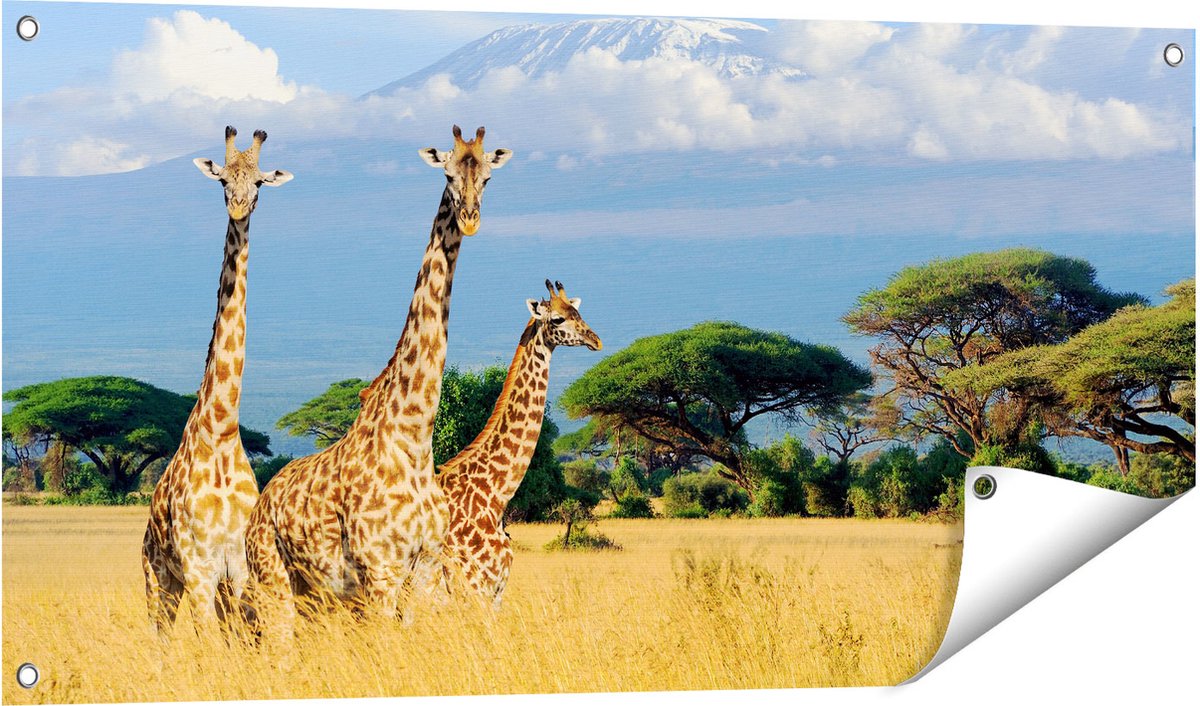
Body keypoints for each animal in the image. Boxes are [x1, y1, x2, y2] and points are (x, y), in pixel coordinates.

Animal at [142, 126, 293, 637]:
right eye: (223, 179)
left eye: (260, 182)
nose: (239, 207)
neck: (223, 429)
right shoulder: (199, 568)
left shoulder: (239, 568)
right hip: (158, 579)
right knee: (160, 637)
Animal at [245, 126, 511, 643]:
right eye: (448, 174)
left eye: (488, 177)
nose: (469, 220)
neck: (414, 437)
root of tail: (262, 504)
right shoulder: (381, 573)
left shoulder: (424, 571)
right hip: (273, 581)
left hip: (317, 595)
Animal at [437, 280, 601, 608]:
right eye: (558, 319)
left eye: (578, 312)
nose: (596, 340)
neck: (495, 495)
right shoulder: (476, 588)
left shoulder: (495, 593)